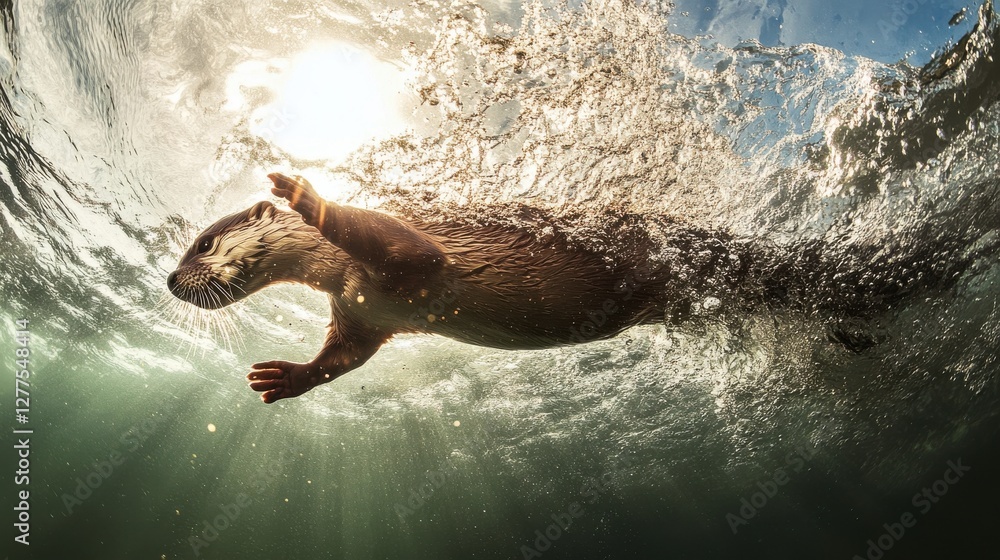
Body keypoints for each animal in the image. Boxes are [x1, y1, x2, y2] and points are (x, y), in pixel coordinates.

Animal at [168, 173, 674, 403]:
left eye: (203, 243)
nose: (170, 281)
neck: (339, 272)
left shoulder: (412, 242)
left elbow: (411, 248)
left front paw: (312, 201)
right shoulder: (358, 314)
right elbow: (345, 356)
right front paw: (288, 376)